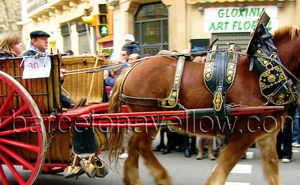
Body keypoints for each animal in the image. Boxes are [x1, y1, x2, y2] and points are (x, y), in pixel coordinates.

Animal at [106, 26, 300, 185]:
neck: (261, 72)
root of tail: (129, 69)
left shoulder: (266, 135)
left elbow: (272, 170)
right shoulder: (243, 134)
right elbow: (224, 167)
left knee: (134, 144)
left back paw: (133, 178)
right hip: (150, 119)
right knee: (140, 145)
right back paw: (162, 177)